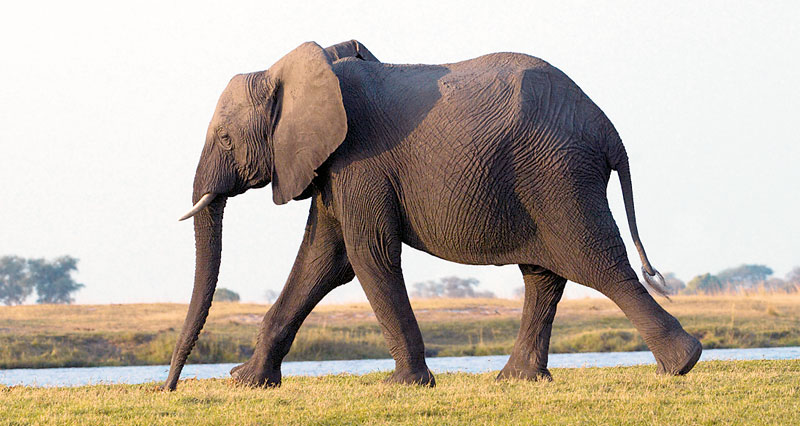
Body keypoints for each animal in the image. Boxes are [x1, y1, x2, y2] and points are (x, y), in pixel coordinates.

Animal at [163, 39, 702, 391]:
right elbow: (322, 260)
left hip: (557, 174)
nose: (169, 387)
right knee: (544, 274)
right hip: (546, 177)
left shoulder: (360, 160)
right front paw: (246, 383)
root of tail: (609, 130)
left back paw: (682, 364)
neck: (290, 70)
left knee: (598, 263)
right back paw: (517, 379)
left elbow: (366, 256)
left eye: (226, 140)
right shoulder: (333, 168)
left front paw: (406, 385)